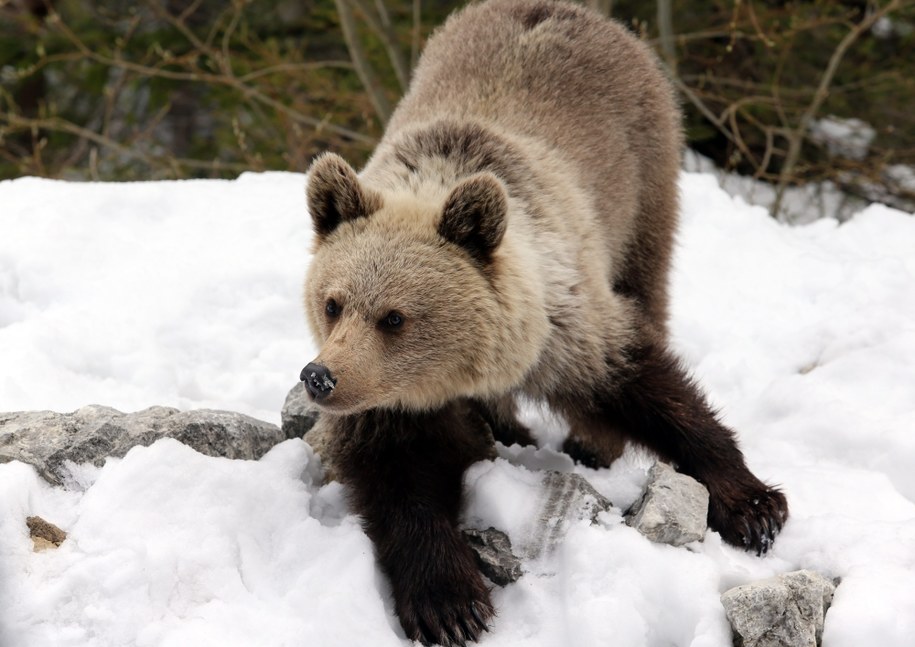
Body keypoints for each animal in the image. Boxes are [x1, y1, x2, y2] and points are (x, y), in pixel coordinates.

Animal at [298, 1, 788, 644]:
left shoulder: (566, 321)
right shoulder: (390, 402)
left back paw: (588, 444)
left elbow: (646, 384)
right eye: (333, 303)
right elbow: (399, 479)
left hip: (642, 186)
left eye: (394, 316)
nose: (320, 376)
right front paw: (448, 601)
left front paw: (754, 506)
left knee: (648, 288)